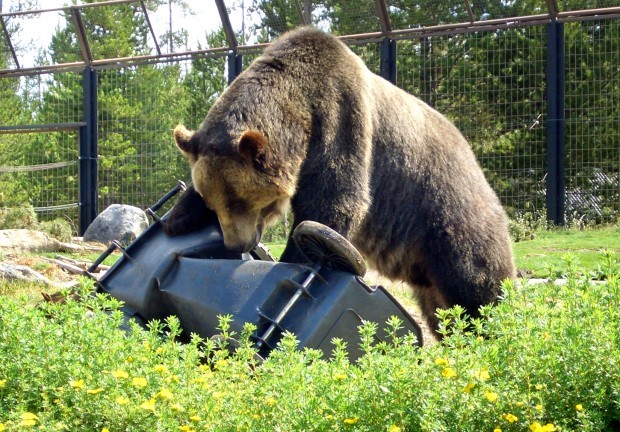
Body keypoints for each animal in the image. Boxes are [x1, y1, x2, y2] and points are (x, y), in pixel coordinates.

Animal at [168, 26, 512, 338]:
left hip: (446, 217)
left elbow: (333, 203)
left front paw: (293, 264)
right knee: (439, 309)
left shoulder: (340, 118)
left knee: (475, 286)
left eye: (244, 201)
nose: (237, 244)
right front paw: (176, 219)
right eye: (214, 202)